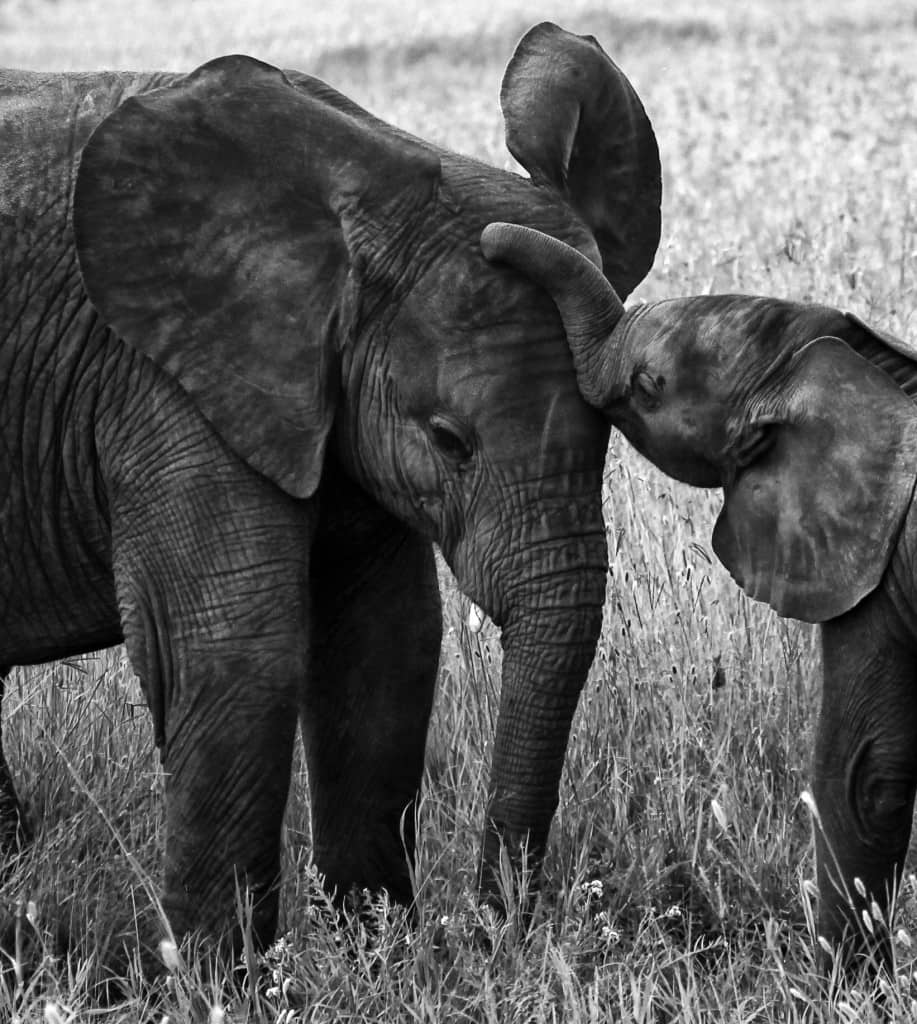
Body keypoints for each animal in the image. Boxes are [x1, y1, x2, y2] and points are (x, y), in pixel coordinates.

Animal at [0, 22, 661, 952]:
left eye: (610, 431)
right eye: (448, 441)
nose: (490, 932)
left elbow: (386, 645)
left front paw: (374, 949)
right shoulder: (165, 383)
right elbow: (237, 655)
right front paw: (221, 973)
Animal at [481, 268, 917, 971]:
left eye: (649, 385)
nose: (490, 248)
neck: (865, 365)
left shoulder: (872, 559)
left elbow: (863, 774)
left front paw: (839, 989)